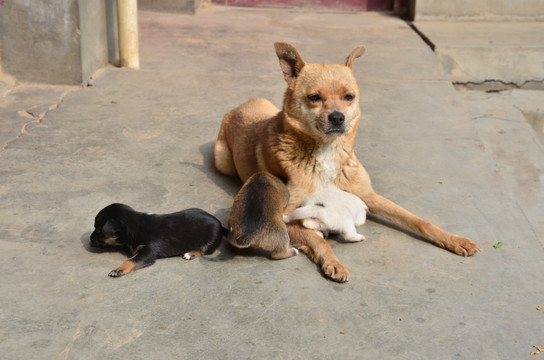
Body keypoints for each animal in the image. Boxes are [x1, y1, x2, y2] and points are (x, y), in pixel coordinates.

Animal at [90, 204, 226, 278]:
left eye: (98, 231)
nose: (90, 240)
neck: (133, 224)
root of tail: (219, 224)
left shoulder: (147, 252)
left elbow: (131, 260)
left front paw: (118, 270)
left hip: (210, 240)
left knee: (204, 250)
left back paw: (190, 253)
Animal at [214, 42, 480, 282]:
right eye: (314, 98)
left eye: (349, 97)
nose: (337, 117)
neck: (327, 150)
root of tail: (241, 106)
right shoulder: (286, 212)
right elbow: (315, 239)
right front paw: (333, 262)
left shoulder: (369, 195)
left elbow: (418, 220)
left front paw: (454, 239)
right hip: (222, 161)